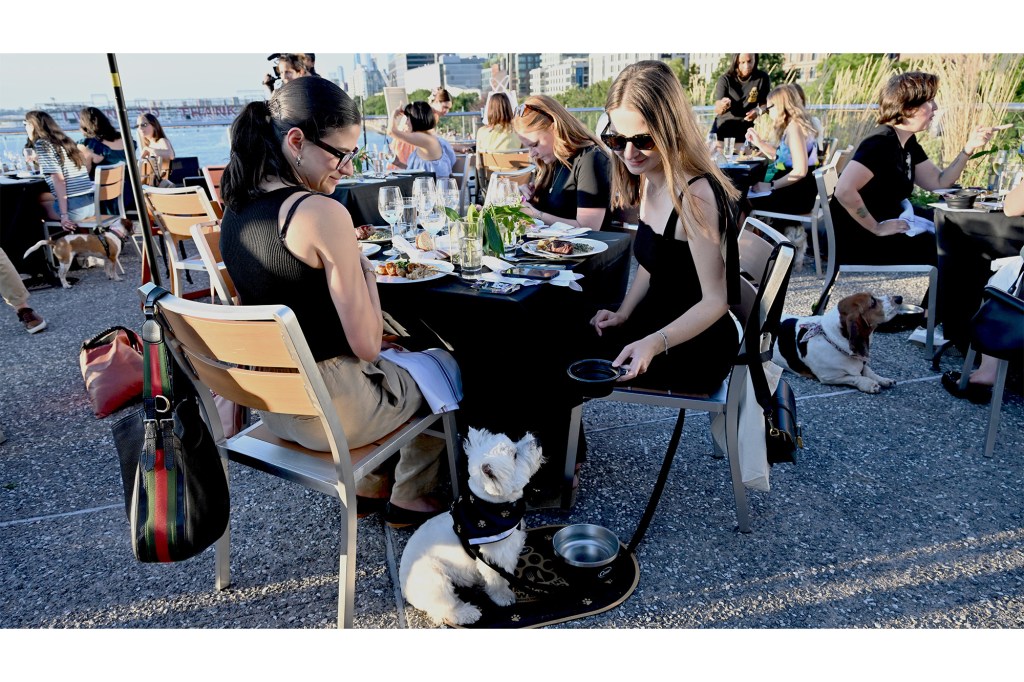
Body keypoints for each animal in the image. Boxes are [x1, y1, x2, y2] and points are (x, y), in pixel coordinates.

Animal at [397, 428, 544, 622]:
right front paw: (504, 597)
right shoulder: (493, 559)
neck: (492, 509)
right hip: (435, 579)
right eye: (514, 455)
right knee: (446, 608)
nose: (536, 439)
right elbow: (497, 582)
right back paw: (468, 613)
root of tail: (405, 591)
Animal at [770, 292, 901, 393]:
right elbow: (854, 377)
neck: (831, 339)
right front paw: (869, 384)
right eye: (872, 302)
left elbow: (868, 371)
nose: (899, 298)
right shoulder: (830, 377)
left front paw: (883, 379)